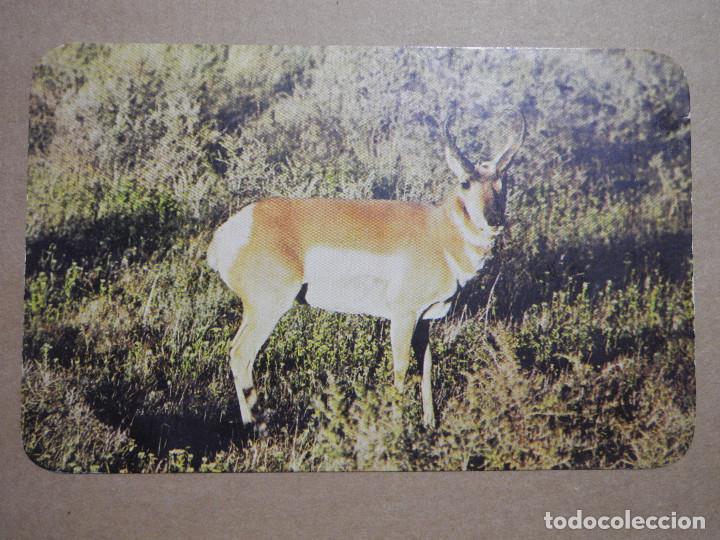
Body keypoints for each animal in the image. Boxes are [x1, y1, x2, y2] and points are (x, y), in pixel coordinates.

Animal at [207, 110, 525, 428]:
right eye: (465, 183)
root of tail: (233, 228)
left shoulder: (425, 320)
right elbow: (401, 368)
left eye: (503, 180)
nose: (494, 219)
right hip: (268, 307)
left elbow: (426, 366)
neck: (438, 232)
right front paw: (398, 427)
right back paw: (256, 426)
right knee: (241, 354)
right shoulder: (403, 316)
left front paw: (429, 424)